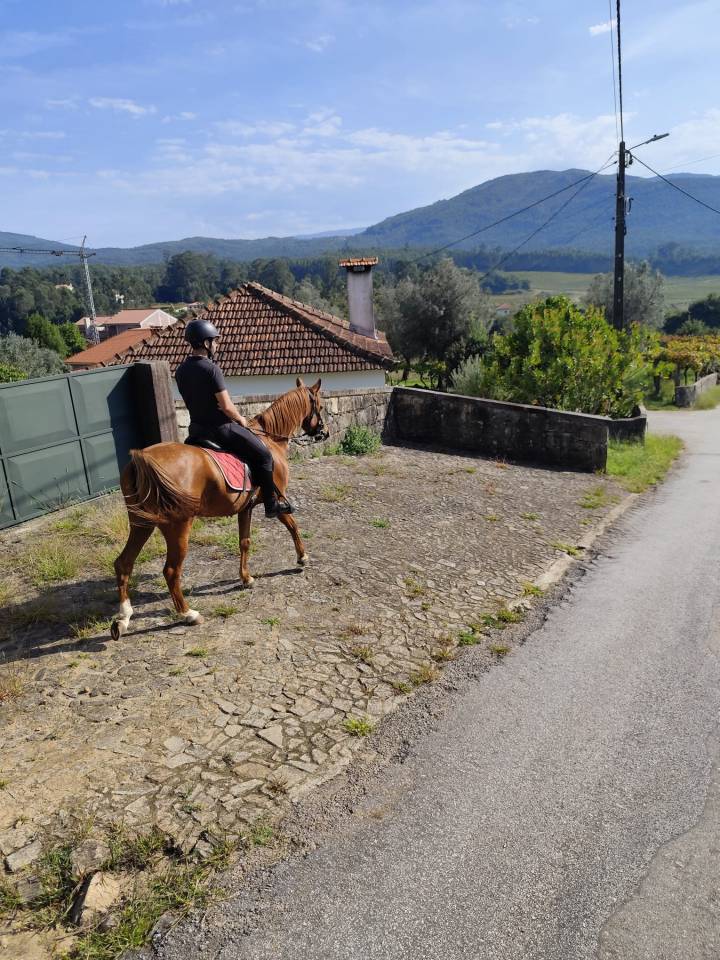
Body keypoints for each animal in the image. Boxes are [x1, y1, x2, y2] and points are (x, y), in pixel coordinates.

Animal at [110, 377, 327, 640]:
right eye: (321, 406)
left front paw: (246, 578)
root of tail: (142, 457)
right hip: (178, 527)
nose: (325, 433)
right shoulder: (275, 500)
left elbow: (244, 542)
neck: (270, 440)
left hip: (141, 523)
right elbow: (293, 526)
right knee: (171, 571)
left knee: (124, 563)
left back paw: (123, 619)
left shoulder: (246, 508)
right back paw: (188, 614)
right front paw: (302, 557)